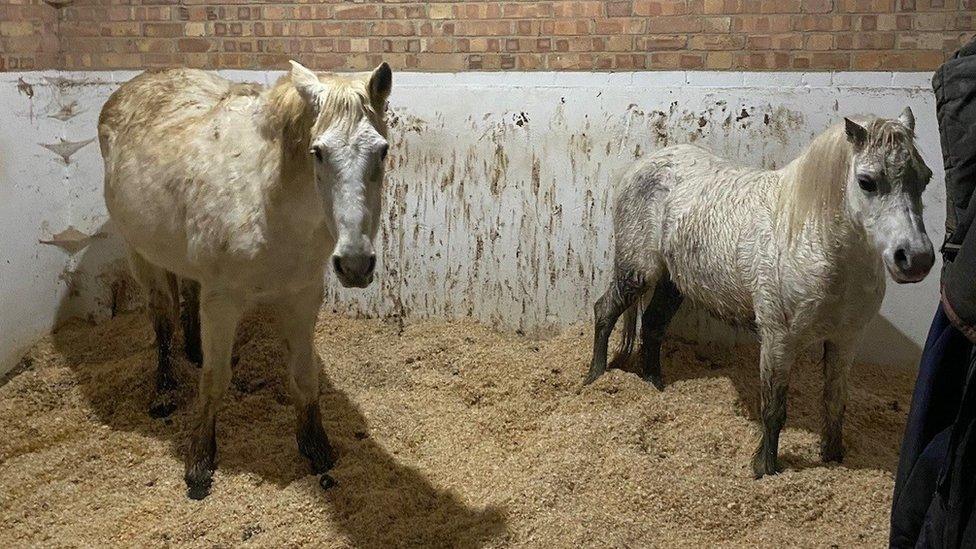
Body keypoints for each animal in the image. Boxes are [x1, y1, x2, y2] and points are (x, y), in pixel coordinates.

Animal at [97, 60, 390, 496]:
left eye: (382, 151)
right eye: (317, 152)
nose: (355, 264)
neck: (266, 199)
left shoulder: (302, 296)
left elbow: (304, 377)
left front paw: (316, 448)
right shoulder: (222, 300)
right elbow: (214, 380)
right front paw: (200, 461)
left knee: (186, 297)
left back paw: (193, 351)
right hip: (140, 253)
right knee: (162, 317)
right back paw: (164, 392)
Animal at [588, 109, 936, 478]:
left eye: (925, 178)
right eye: (867, 181)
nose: (915, 259)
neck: (810, 239)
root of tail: (642, 165)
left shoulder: (845, 341)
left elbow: (835, 401)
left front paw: (833, 456)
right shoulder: (778, 341)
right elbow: (773, 409)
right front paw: (766, 467)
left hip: (672, 282)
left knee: (653, 326)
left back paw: (654, 384)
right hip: (637, 274)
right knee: (605, 311)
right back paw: (595, 378)